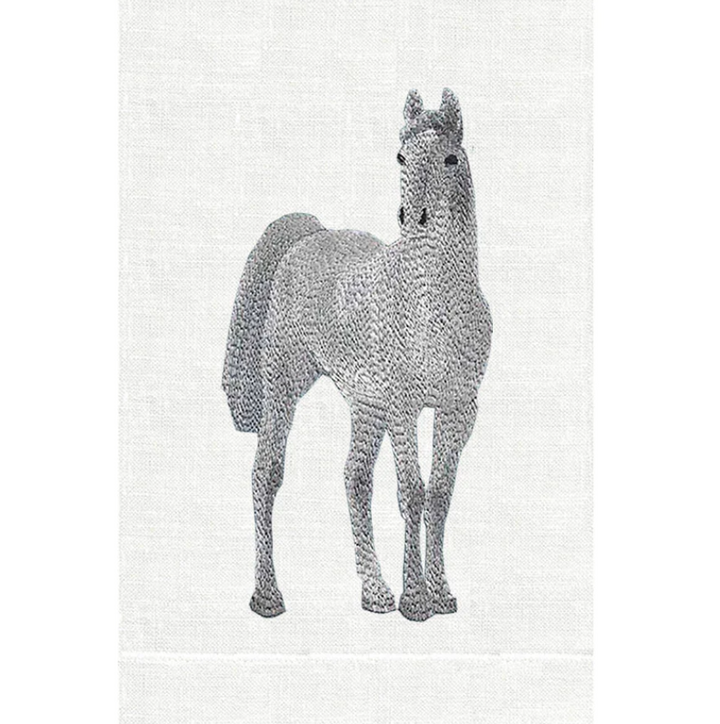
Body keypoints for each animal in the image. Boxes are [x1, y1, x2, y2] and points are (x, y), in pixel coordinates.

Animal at [223, 89, 492, 621]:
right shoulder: (405, 407)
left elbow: (440, 495)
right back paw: (268, 595)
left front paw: (440, 593)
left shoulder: (457, 410)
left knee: (354, 478)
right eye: (401, 157)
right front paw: (416, 601)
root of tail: (310, 233)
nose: (413, 217)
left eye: (451, 158)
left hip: (366, 404)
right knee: (266, 473)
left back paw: (375, 593)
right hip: (284, 386)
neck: (433, 301)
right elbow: (412, 492)